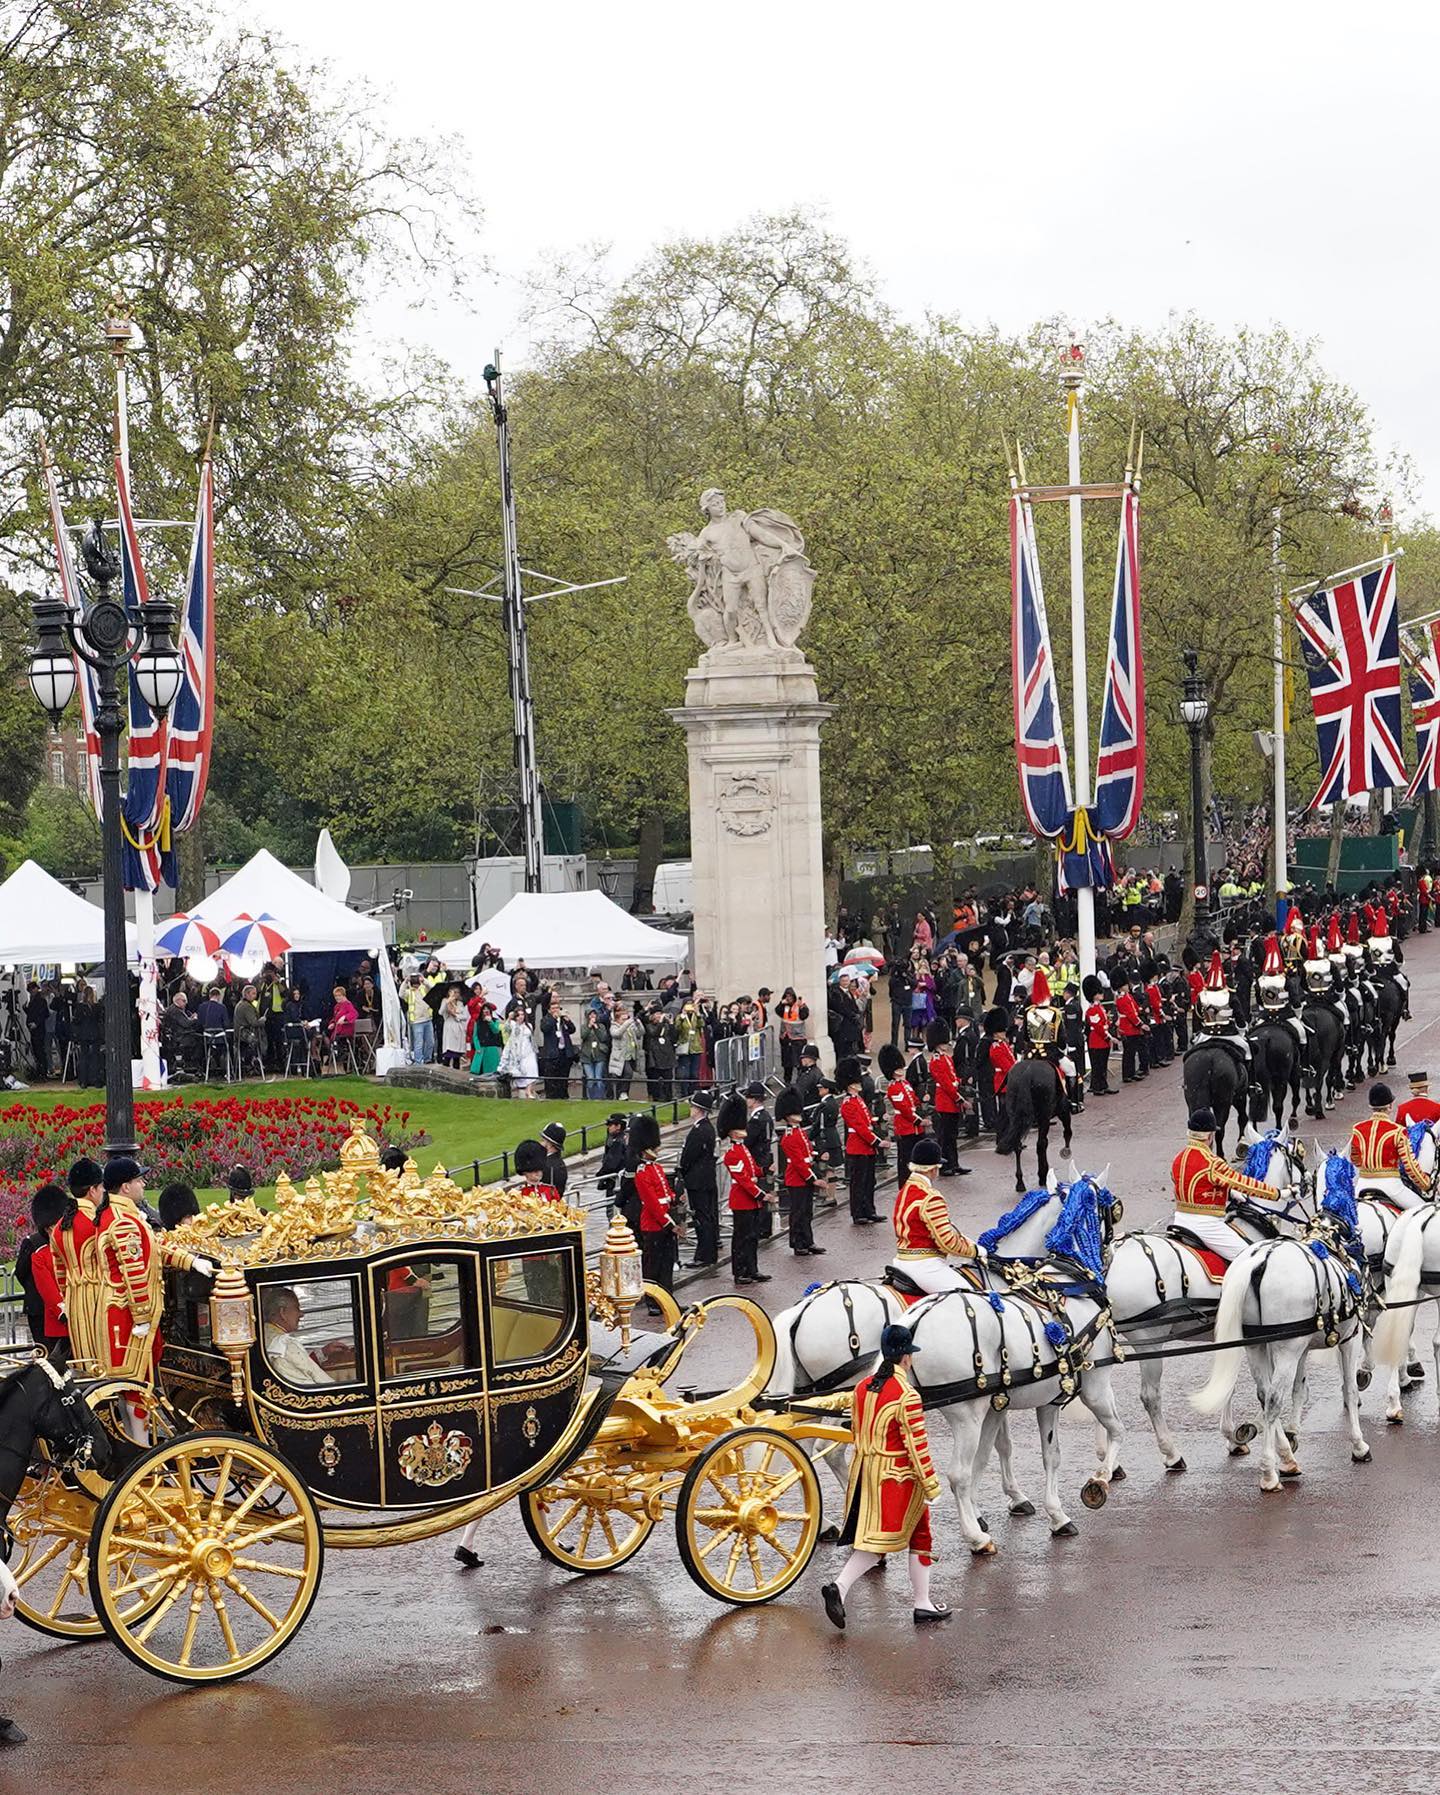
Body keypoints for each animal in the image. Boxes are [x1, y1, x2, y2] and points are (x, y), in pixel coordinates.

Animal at [998, 1048, 1062, 1191]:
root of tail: (1027, 1073)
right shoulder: (1046, 1118)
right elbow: (1043, 1143)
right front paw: (1043, 1174)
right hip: (1044, 1115)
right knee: (1040, 1144)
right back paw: (1041, 1177)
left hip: (1014, 1117)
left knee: (1017, 1144)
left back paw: (1020, 1182)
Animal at [1192, 1227, 1371, 1493]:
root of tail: (1259, 1258)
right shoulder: (1350, 1338)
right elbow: (1349, 1389)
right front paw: (1358, 1445)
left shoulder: (1301, 1348)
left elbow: (1299, 1388)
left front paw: (1291, 1433)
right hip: (1287, 1350)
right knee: (1274, 1399)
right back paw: (1269, 1473)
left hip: (1258, 1346)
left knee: (1265, 1395)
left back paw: (1285, 1458)